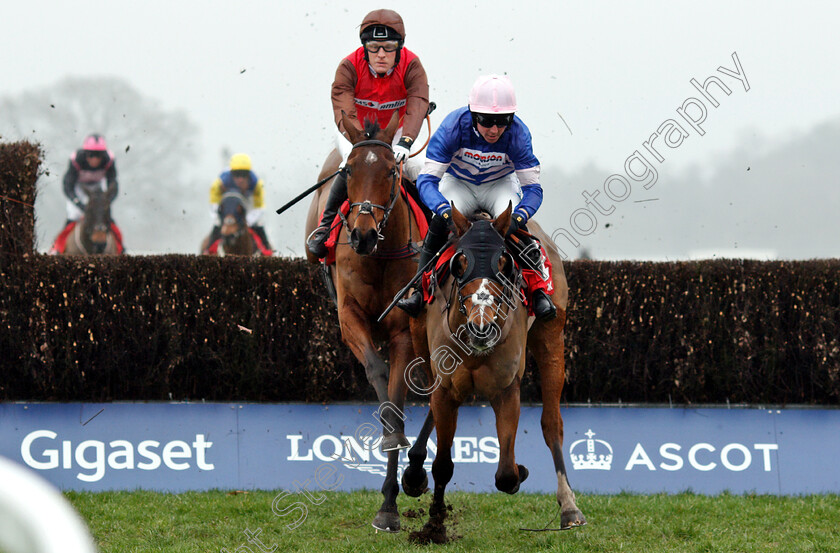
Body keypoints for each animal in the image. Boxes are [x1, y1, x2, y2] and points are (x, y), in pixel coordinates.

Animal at [306, 111, 426, 532]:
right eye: (349, 171)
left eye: (392, 171)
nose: (362, 234)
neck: (379, 256)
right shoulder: (349, 317)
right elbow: (378, 374)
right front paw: (390, 437)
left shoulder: (403, 329)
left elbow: (397, 393)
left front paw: (390, 503)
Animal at [400, 204, 584, 540]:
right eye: (460, 263)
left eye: (504, 262)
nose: (481, 327)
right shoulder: (446, 387)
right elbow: (443, 463)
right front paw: (433, 526)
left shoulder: (506, 390)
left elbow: (507, 474)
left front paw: (521, 471)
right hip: (420, 338)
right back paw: (415, 469)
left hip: (552, 337)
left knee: (552, 423)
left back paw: (569, 507)